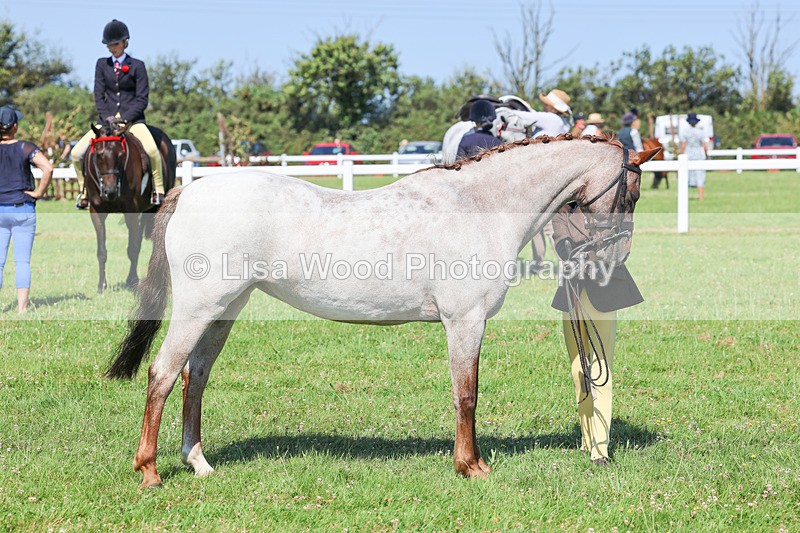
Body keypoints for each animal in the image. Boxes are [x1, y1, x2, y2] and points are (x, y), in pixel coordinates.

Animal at [82, 121, 177, 293]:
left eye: (121, 155)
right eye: (98, 155)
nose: (110, 191)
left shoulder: (131, 211)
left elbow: (133, 248)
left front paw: (132, 281)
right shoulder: (97, 212)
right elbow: (101, 251)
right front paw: (101, 285)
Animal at [106, 134, 661, 488]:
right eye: (631, 192)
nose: (615, 260)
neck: (479, 204)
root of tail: (190, 191)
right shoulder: (465, 322)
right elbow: (467, 394)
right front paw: (471, 466)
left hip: (226, 308)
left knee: (194, 375)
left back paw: (198, 463)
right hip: (199, 308)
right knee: (162, 373)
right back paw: (150, 472)